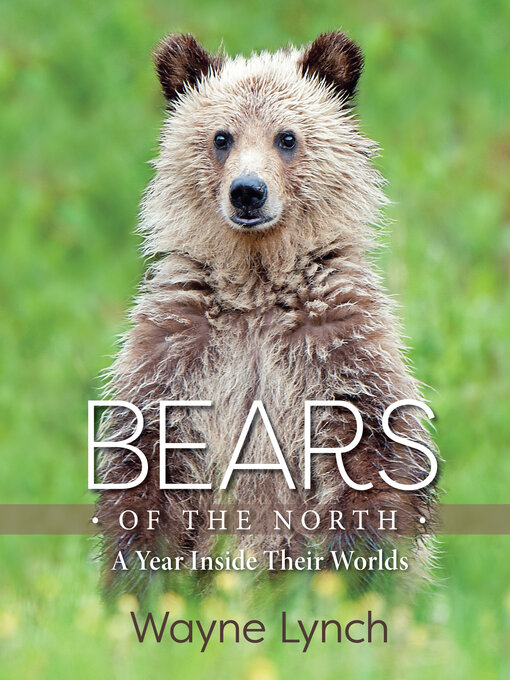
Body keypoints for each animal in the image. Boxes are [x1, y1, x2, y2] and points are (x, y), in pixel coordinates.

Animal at [95, 31, 439, 590]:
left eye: (287, 137)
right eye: (222, 137)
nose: (248, 192)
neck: (257, 286)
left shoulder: (336, 343)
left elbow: (373, 454)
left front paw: (350, 576)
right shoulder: (180, 347)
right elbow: (146, 463)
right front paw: (141, 577)